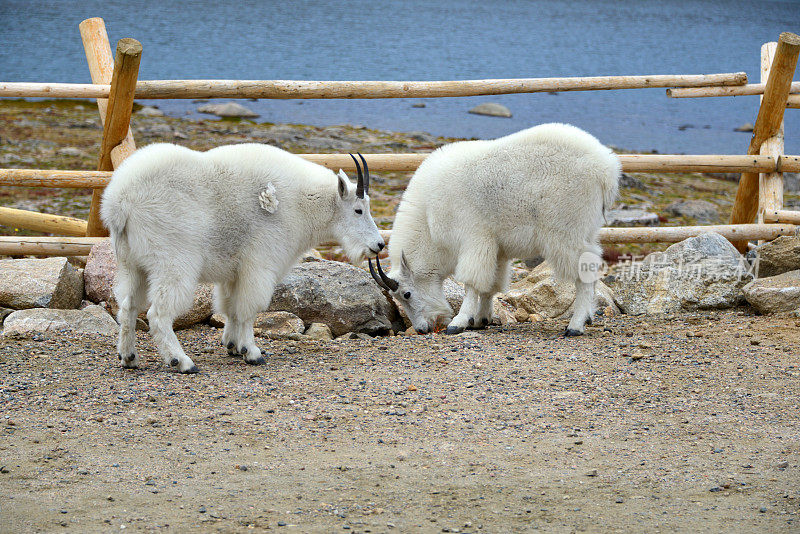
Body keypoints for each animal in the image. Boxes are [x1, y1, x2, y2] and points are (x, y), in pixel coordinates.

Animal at [101, 144, 384, 374]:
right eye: (358, 210)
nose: (379, 245)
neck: (302, 204)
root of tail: (120, 203)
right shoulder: (260, 264)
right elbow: (249, 309)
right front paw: (252, 352)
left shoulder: (234, 271)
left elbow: (231, 307)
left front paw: (233, 346)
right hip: (173, 263)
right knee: (158, 314)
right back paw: (182, 362)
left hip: (132, 264)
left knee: (127, 307)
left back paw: (128, 357)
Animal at [368, 123, 620, 338]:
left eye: (406, 294)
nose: (422, 328)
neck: (428, 220)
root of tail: (606, 170)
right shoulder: (496, 248)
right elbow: (491, 285)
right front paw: (481, 319)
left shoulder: (473, 239)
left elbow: (471, 283)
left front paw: (459, 322)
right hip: (587, 230)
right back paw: (588, 317)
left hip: (566, 232)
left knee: (585, 272)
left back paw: (575, 325)